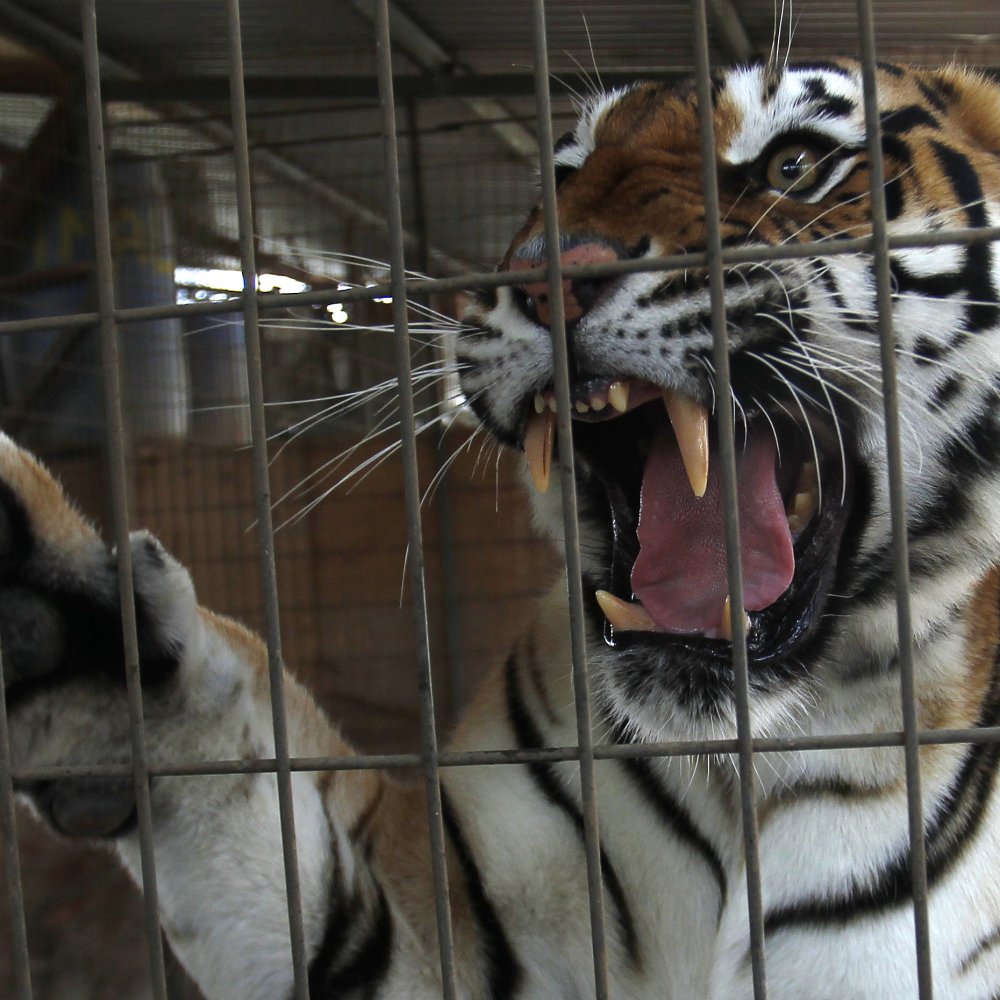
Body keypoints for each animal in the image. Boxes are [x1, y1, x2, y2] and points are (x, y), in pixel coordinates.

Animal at [6, 56, 1000, 999]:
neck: (733, 771)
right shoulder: (448, 934)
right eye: (559, 182)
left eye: (794, 164)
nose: (548, 277)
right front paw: (70, 632)